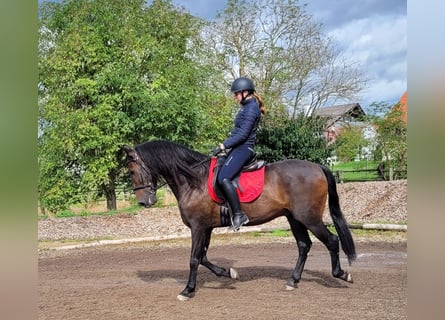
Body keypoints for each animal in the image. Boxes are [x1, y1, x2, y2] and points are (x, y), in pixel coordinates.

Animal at [123, 139, 356, 300]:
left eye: (132, 170)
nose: (143, 202)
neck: (193, 181)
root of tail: (318, 167)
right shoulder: (206, 228)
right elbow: (204, 257)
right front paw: (228, 273)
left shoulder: (198, 227)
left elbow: (194, 259)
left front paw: (187, 290)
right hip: (294, 218)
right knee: (304, 245)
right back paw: (293, 280)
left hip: (309, 218)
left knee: (331, 241)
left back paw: (342, 274)